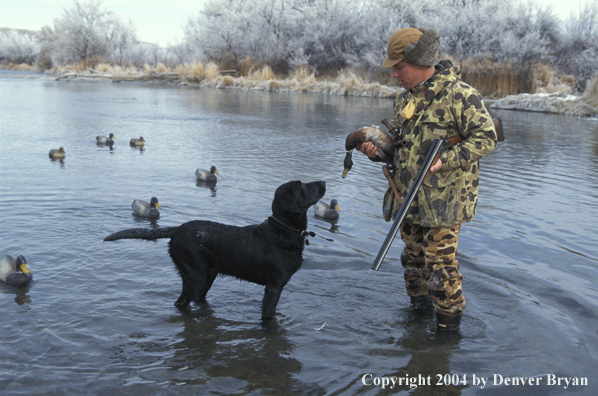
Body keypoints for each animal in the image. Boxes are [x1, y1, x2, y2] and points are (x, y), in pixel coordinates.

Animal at [105, 181, 326, 320]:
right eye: (302, 186)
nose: (323, 182)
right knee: (182, 302)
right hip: (194, 276)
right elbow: (268, 317)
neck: (282, 232)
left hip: (207, 275)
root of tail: (178, 229)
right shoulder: (274, 286)